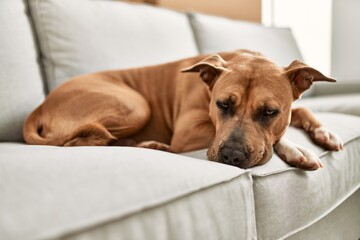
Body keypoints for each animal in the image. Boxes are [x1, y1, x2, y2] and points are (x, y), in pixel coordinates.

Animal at [23, 49, 344, 171]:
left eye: (269, 112)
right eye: (222, 105)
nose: (232, 156)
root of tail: (40, 106)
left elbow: (301, 113)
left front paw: (324, 132)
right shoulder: (190, 132)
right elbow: (278, 138)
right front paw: (297, 149)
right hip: (135, 105)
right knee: (81, 142)